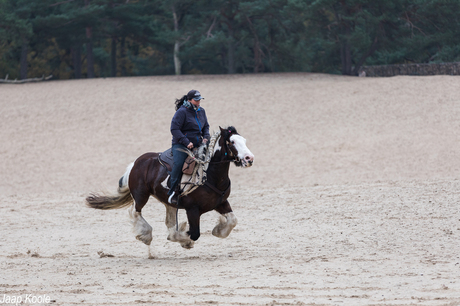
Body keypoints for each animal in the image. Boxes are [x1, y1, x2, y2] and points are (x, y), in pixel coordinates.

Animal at [86, 125, 255, 255]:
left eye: (245, 140)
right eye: (232, 142)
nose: (249, 158)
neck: (209, 174)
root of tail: (136, 162)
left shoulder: (221, 202)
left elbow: (232, 220)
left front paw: (218, 230)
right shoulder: (193, 209)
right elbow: (194, 234)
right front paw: (185, 241)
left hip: (170, 203)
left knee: (168, 221)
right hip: (141, 195)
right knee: (134, 211)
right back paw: (145, 235)